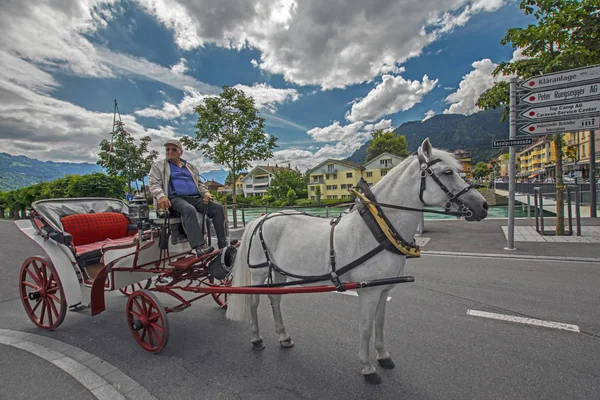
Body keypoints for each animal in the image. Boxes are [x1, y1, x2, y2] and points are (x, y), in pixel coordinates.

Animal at [225, 139, 488, 382]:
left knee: (275, 299)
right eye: (447, 172)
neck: (378, 229)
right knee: (254, 301)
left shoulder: (383, 290)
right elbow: (365, 328)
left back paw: (283, 336)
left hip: (279, 271)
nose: (483, 206)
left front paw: (383, 356)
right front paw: (367, 367)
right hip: (259, 271)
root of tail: (260, 219)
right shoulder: (368, 292)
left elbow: (380, 323)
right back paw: (256, 338)